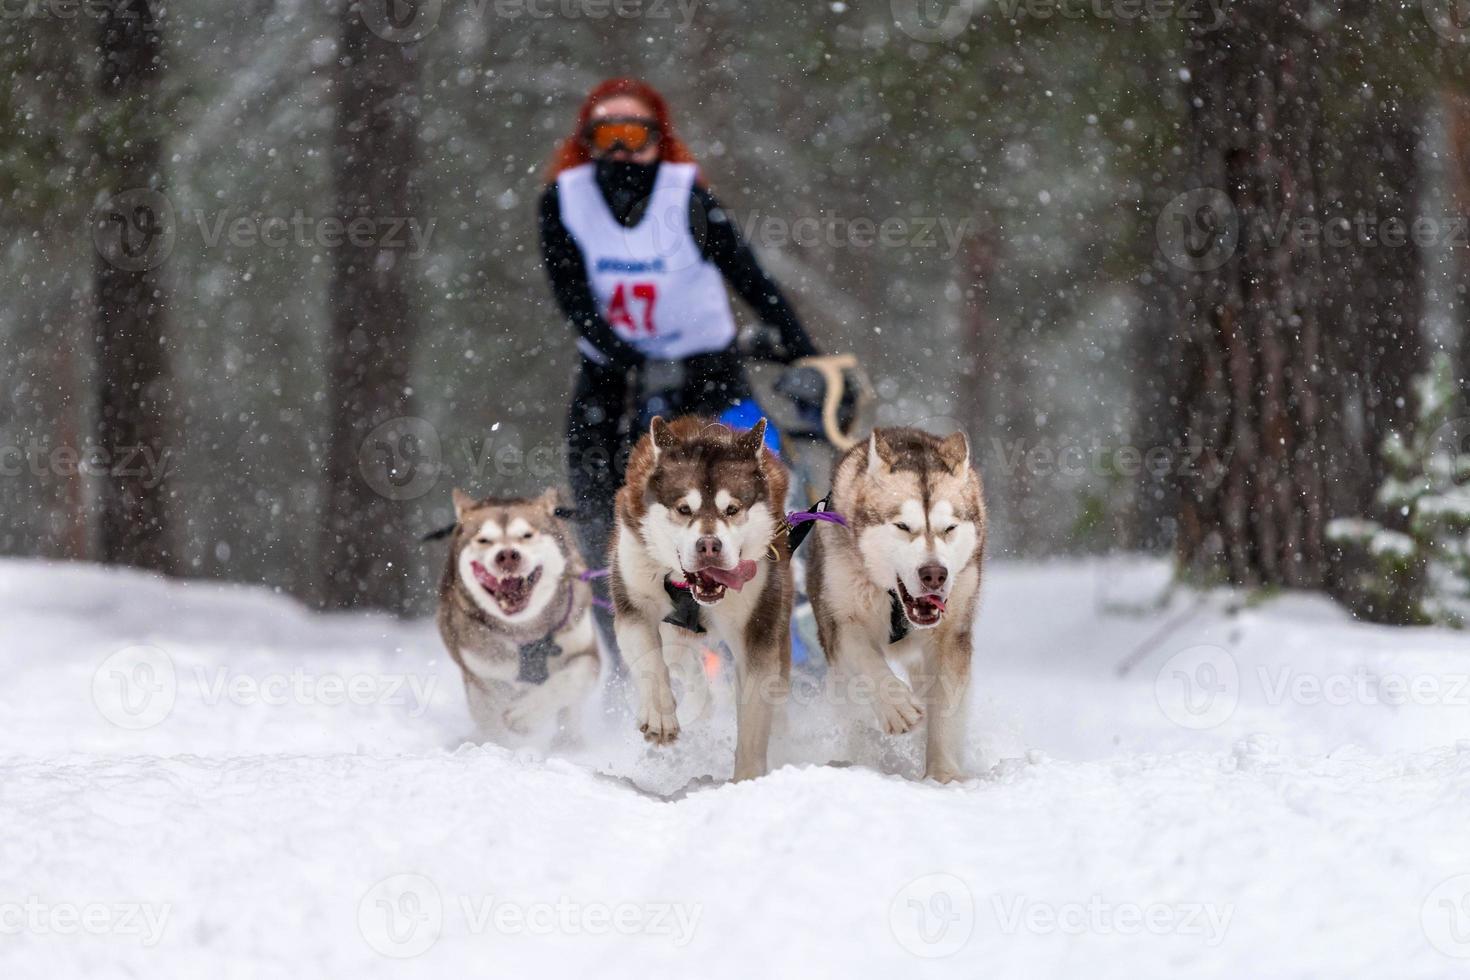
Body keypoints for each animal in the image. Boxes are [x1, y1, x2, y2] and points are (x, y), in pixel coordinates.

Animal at [435, 490, 596, 743]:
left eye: (527, 535)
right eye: (484, 540)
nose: (508, 555)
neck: (526, 629)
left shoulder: (582, 646)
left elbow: (571, 679)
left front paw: (526, 715)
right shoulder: (481, 675)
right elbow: (491, 717)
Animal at [608, 414, 793, 781]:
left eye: (732, 509)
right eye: (683, 508)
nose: (709, 546)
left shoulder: (757, 627)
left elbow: (754, 717)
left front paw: (748, 779)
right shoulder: (634, 602)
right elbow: (650, 661)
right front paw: (660, 715)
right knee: (678, 655)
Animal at [811, 426, 981, 781]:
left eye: (950, 528)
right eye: (903, 526)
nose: (935, 574)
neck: (894, 600)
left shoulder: (952, 635)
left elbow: (945, 708)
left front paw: (942, 774)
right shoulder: (841, 621)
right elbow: (867, 660)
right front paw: (896, 707)